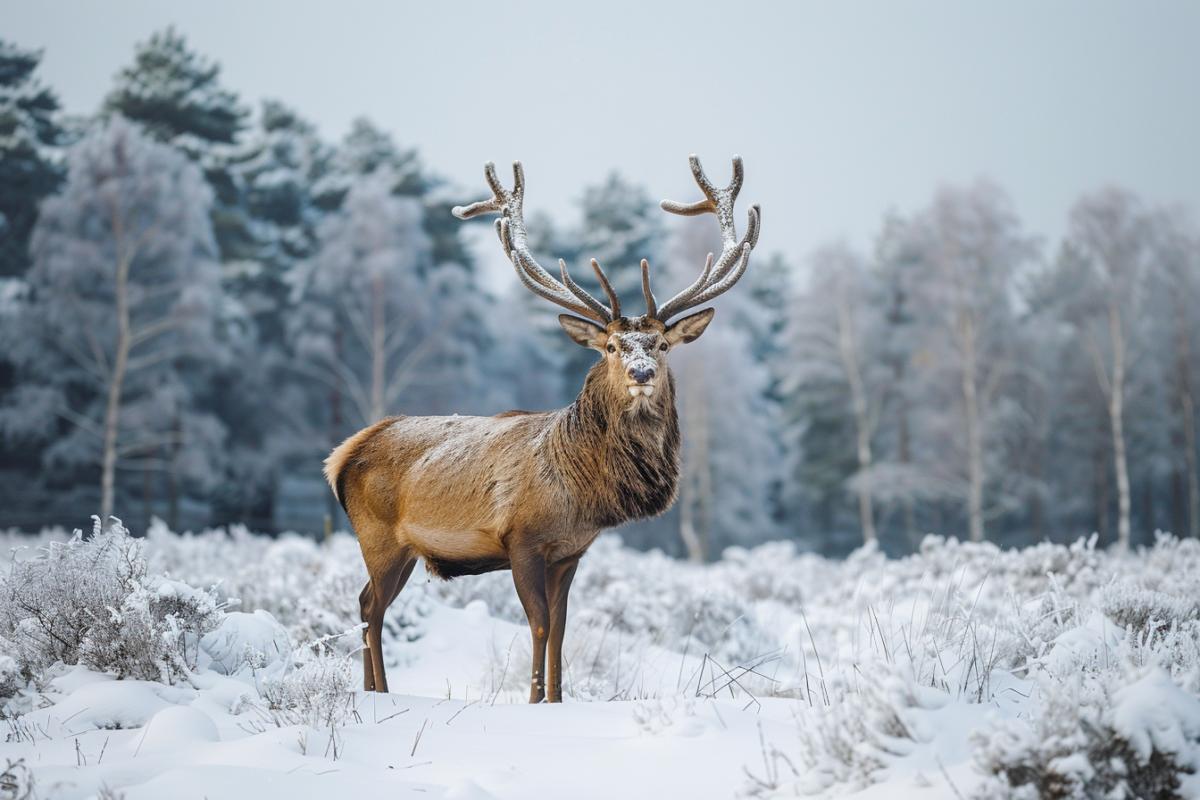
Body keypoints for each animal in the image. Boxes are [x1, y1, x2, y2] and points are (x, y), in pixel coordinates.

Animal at [321, 154, 758, 700]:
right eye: (611, 346)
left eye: (660, 344)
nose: (641, 373)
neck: (583, 491)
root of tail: (342, 455)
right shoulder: (522, 539)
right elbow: (540, 624)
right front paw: (533, 701)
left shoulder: (570, 552)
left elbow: (563, 630)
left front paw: (557, 699)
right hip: (377, 535)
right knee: (372, 609)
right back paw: (380, 691)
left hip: (399, 549)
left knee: (364, 603)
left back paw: (370, 690)